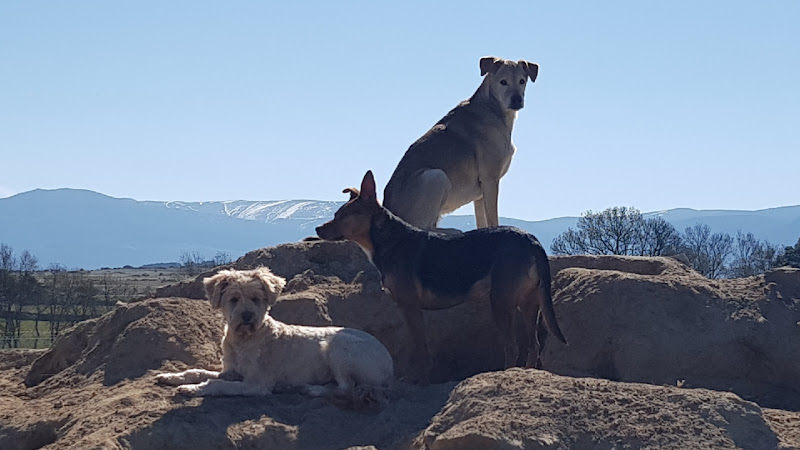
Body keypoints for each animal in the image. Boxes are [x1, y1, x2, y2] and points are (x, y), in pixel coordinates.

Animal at [156, 268, 394, 400]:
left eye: (256, 299)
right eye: (233, 299)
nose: (247, 316)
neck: (244, 339)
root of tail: (390, 365)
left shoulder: (256, 384)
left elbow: (217, 384)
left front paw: (191, 389)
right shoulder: (231, 371)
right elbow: (198, 371)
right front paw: (172, 376)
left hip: (337, 347)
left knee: (346, 387)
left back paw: (311, 390)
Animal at [316, 171, 564, 382]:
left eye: (344, 216)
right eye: (335, 214)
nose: (318, 229)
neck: (388, 239)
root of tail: (531, 240)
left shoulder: (411, 307)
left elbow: (420, 347)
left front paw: (419, 379)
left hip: (501, 302)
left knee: (512, 346)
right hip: (530, 302)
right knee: (533, 345)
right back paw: (528, 374)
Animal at [384, 56, 540, 232]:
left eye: (522, 81)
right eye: (503, 82)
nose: (517, 100)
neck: (493, 107)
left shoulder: (480, 194)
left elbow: (482, 222)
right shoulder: (490, 180)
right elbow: (493, 219)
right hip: (436, 176)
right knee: (425, 227)